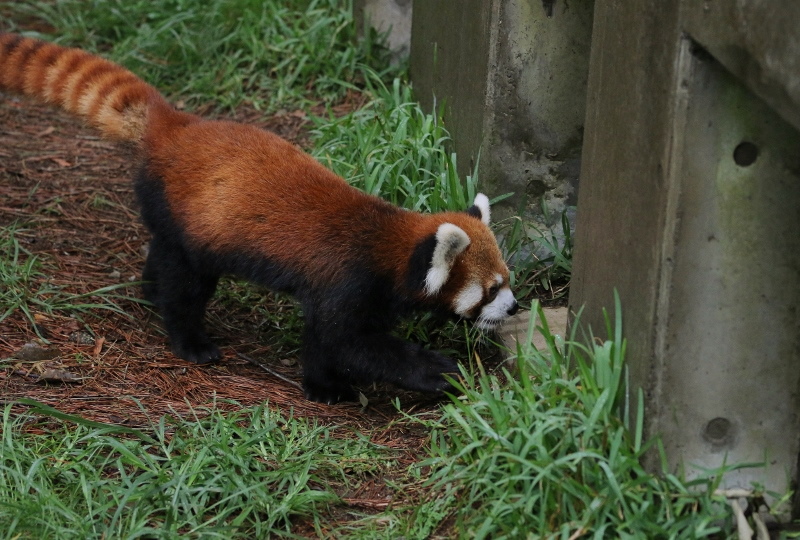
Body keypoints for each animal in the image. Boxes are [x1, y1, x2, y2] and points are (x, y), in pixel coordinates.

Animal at [1, 32, 520, 400]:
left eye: (508, 281)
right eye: (491, 289)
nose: (514, 307)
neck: (391, 244)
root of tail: (178, 126)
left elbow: (327, 340)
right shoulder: (347, 282)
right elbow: (345, 342)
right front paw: (428, 373)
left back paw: (150, 290)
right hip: (193, 229)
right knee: (186, 283)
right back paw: (189, 339)